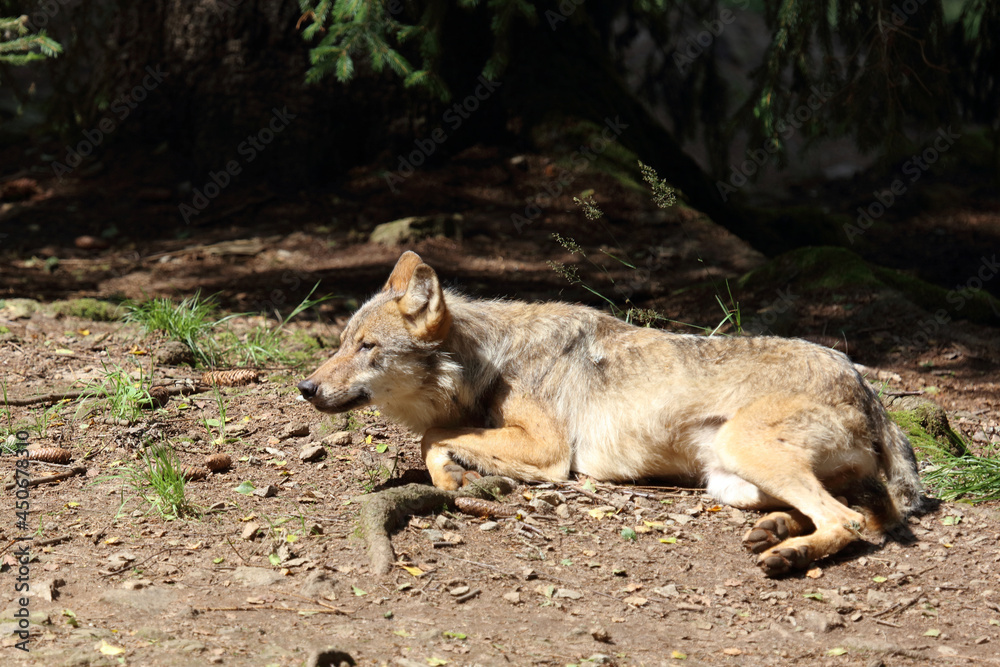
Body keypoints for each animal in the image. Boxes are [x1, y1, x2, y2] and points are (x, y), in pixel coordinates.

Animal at [298, 251, 928, 576]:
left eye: (367, 348)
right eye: (340, 343)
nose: (306, 387)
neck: (490, 359)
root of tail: (862, 380)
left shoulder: (550, 452)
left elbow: (432, 434)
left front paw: (453, 475)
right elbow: (435, 435)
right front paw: (456, 474)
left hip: (743, 450)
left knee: (848, 521)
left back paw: (787, 554)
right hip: (728, 479)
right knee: (855, 513)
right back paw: (776, 532)